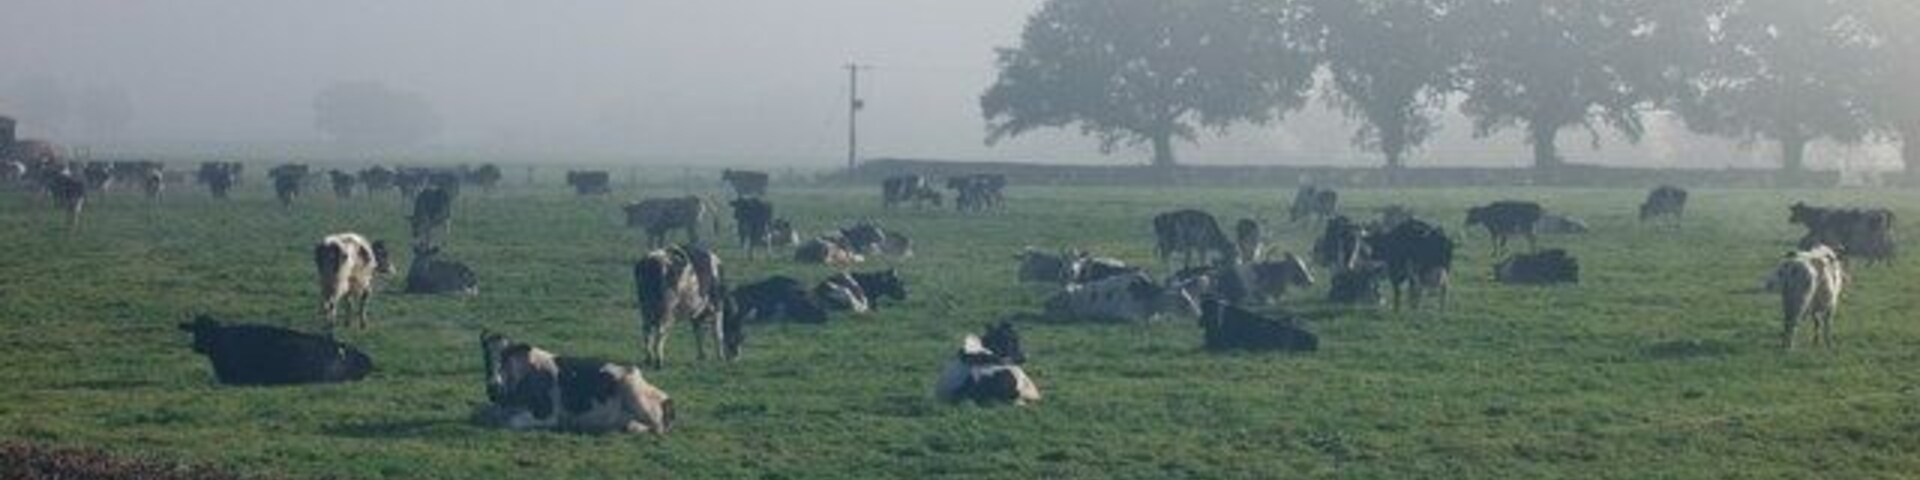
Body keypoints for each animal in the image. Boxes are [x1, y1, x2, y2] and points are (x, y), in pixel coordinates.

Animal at [476, 332, 674, 434]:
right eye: (486, 355)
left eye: (506, 357)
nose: (493, 386)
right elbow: (487, 414)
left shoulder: (548, 415)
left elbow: (512, 422)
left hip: (634, 393)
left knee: (657, 428)